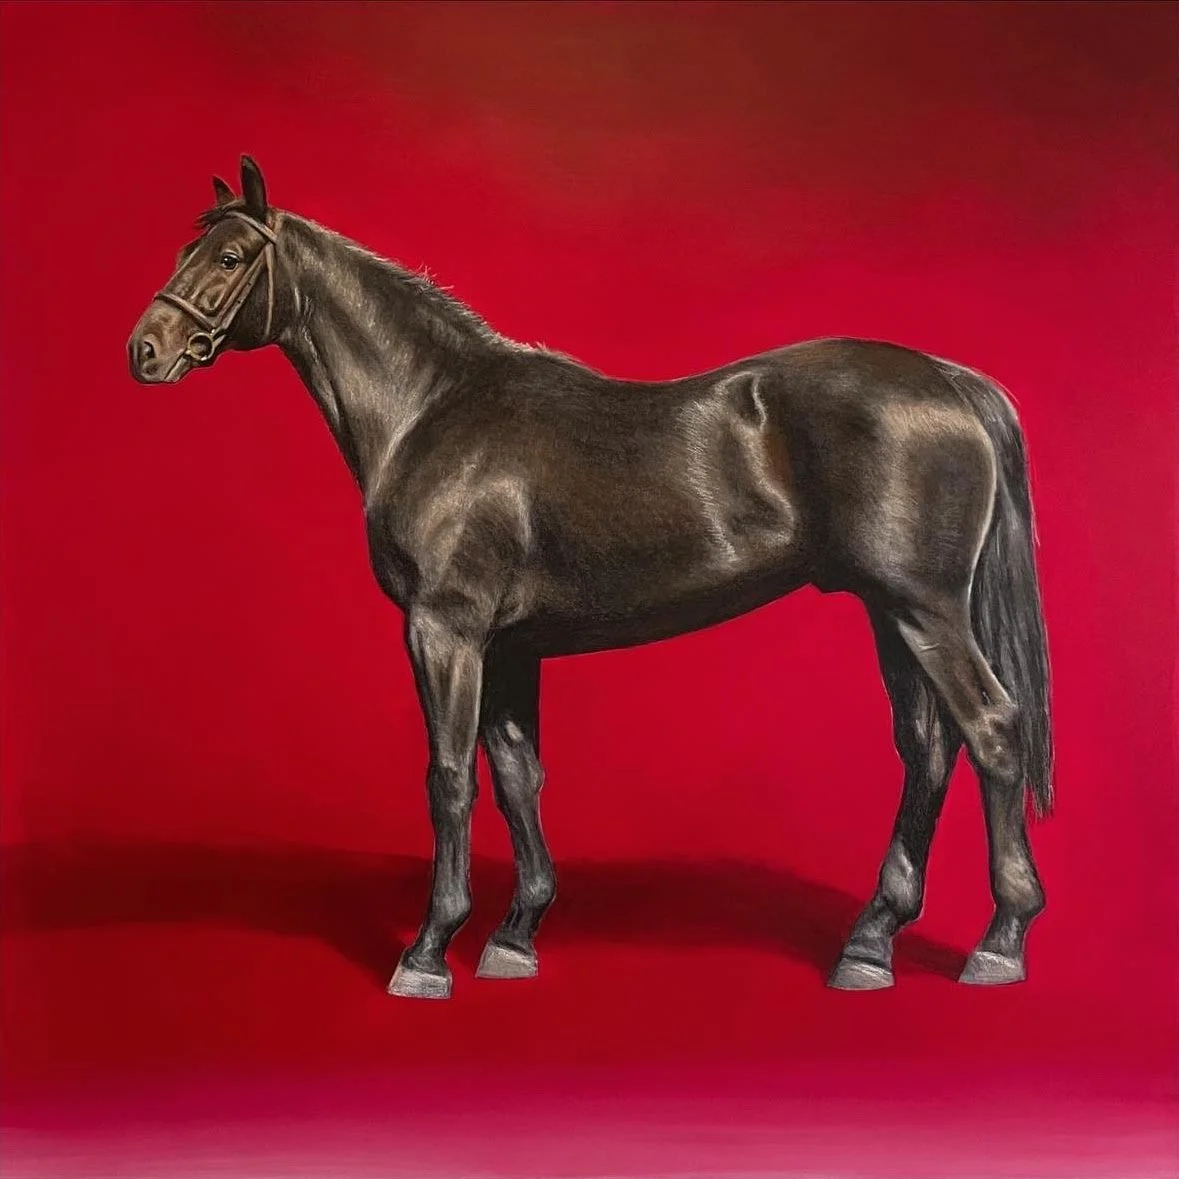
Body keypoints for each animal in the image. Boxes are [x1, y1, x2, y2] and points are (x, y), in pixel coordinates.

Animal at [128, 156, 1053, 1000]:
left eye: (228, 256)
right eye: (184, 247)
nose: (145, 349)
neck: (435, 411)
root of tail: (948, 381)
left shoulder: (444, 628)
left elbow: (450, 776)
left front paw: (427, 950)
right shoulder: (507, 645)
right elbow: (516, 773)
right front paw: (515, 933)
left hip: (924, 609)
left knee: (991, 730)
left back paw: (997, 942)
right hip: (890, 611)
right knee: (926, 748)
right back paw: (869, 943)